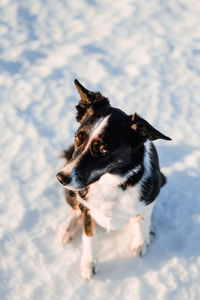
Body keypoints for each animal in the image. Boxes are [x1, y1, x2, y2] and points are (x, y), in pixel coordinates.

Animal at [55, 79, 170, 278]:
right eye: (77, 138)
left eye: (102, 150)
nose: (61, 178)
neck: (111, 183)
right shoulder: (86, 206)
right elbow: (89, 234)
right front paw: (89, 263)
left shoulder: (152, 193)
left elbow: (143, 218)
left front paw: (141, 240)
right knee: (74, 209)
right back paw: (67, 228)